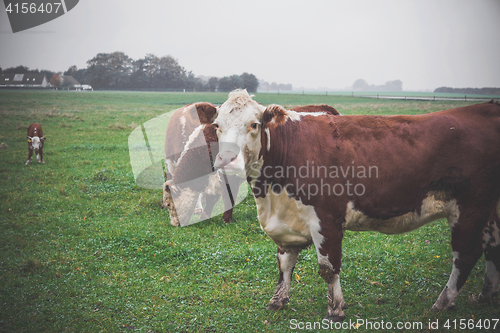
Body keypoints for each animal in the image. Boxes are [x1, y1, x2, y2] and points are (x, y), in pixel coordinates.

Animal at [213, 89, 500, 322]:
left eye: (253, 124)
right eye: (217, 125)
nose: (226, 159)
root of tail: (486, 108)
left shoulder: (326, 218)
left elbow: (328, 268)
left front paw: (335, 310)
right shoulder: (284, 222)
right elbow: (285, 263)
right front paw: (278, 301)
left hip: (470, 206)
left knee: (467, 254)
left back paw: (443, 302)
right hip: (490, 211)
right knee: (492, 247)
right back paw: (484, 297)